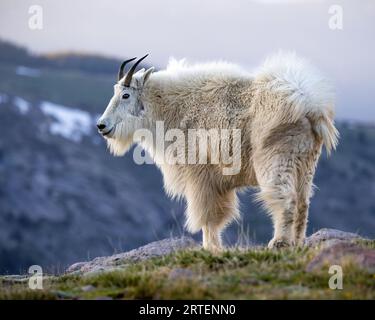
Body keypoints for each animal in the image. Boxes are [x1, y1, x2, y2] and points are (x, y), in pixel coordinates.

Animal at [97, 52, 340, 251]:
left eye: (126, 95)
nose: (101, 125)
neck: (173, 108)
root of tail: (311, 107)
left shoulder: (201, 175)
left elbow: (208, 216)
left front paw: (210, 248)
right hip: (305, 163)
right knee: (303, 202)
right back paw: (297, 243)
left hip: (276, 160)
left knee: (285, 199)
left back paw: (279, 243)